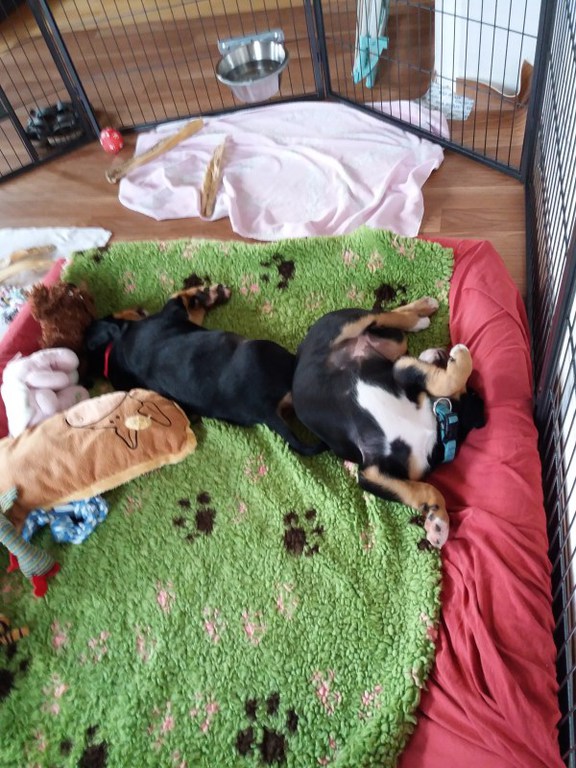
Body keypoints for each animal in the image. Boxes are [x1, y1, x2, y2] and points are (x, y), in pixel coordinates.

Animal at [82, 279, 322, 456]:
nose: (140, 307)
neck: (113, 350)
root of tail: (265, 411)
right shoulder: (174, 312)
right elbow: (180, 297)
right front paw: (210, 293)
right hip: (265, 349)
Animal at [291, 296, 486, 548]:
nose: (444, 352)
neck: (436, 425)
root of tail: (301, 352)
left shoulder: (376, 472)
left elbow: (423, 490)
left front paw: (438, 524)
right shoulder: (401, 372)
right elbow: (446, 381)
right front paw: (461, 357)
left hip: (394, 345)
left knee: (390, 326)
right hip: (347, 323)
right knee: (383, 314)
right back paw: (420, 314)